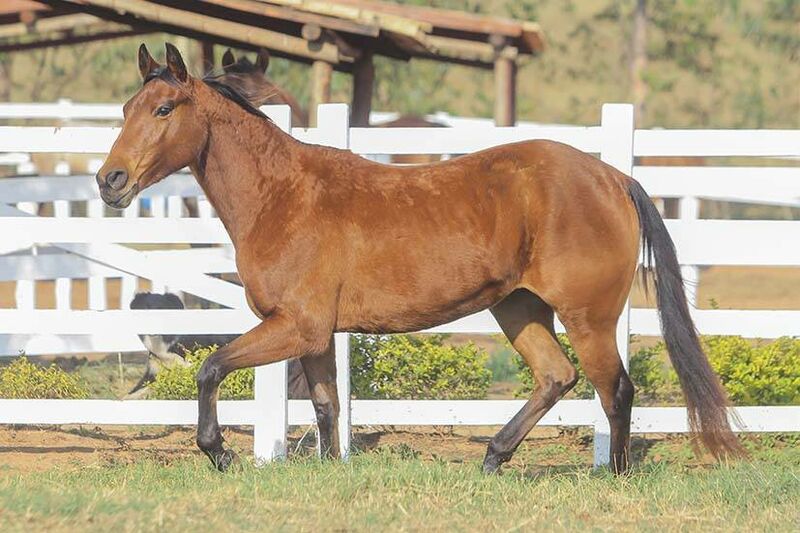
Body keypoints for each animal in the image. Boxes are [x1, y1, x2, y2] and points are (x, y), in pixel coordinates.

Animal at [98, 43, 744, 472]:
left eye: (163, 109)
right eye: (127, 107)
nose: (110, 181)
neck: (283, 195)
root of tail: (613, 177)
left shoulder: (294, 327)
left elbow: (210, 368)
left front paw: (218, 453)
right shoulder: (315, 335)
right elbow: (328, 407)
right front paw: (331, 472)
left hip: (588, 318)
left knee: (616, 390)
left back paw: (613, 475)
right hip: (517, 308)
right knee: (556, 377)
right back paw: (491, 462)